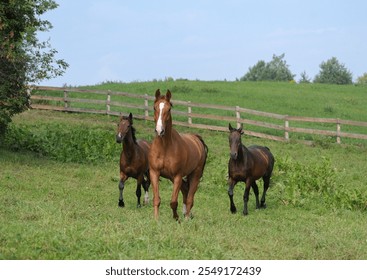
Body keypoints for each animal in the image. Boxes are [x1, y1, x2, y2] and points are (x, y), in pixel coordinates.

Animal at [148, 89, 208, 221]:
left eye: (169, 109)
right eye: (154, 107)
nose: (160, 131)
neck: (165, 147)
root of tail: (197, 139)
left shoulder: (177, 176)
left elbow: (173, 202)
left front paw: (176, 218)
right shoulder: (154, 172)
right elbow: (156, 199)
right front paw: (156, 219)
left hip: (195, 175)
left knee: (190, 198)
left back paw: (186, 218)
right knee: (185, 191)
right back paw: (185, 214)